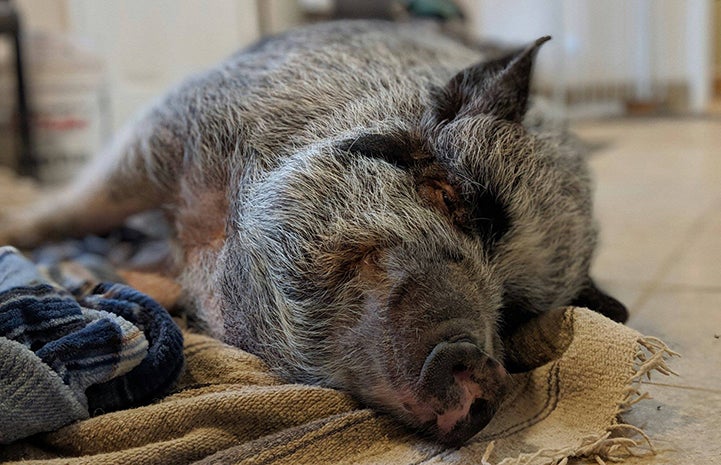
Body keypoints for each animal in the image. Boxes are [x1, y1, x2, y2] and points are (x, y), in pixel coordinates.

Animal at [0, 20, 628, 444]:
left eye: (514, 315)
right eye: (449, 196)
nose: (483, 372)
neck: (213, 248)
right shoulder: (171, 126)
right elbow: (78, 208)